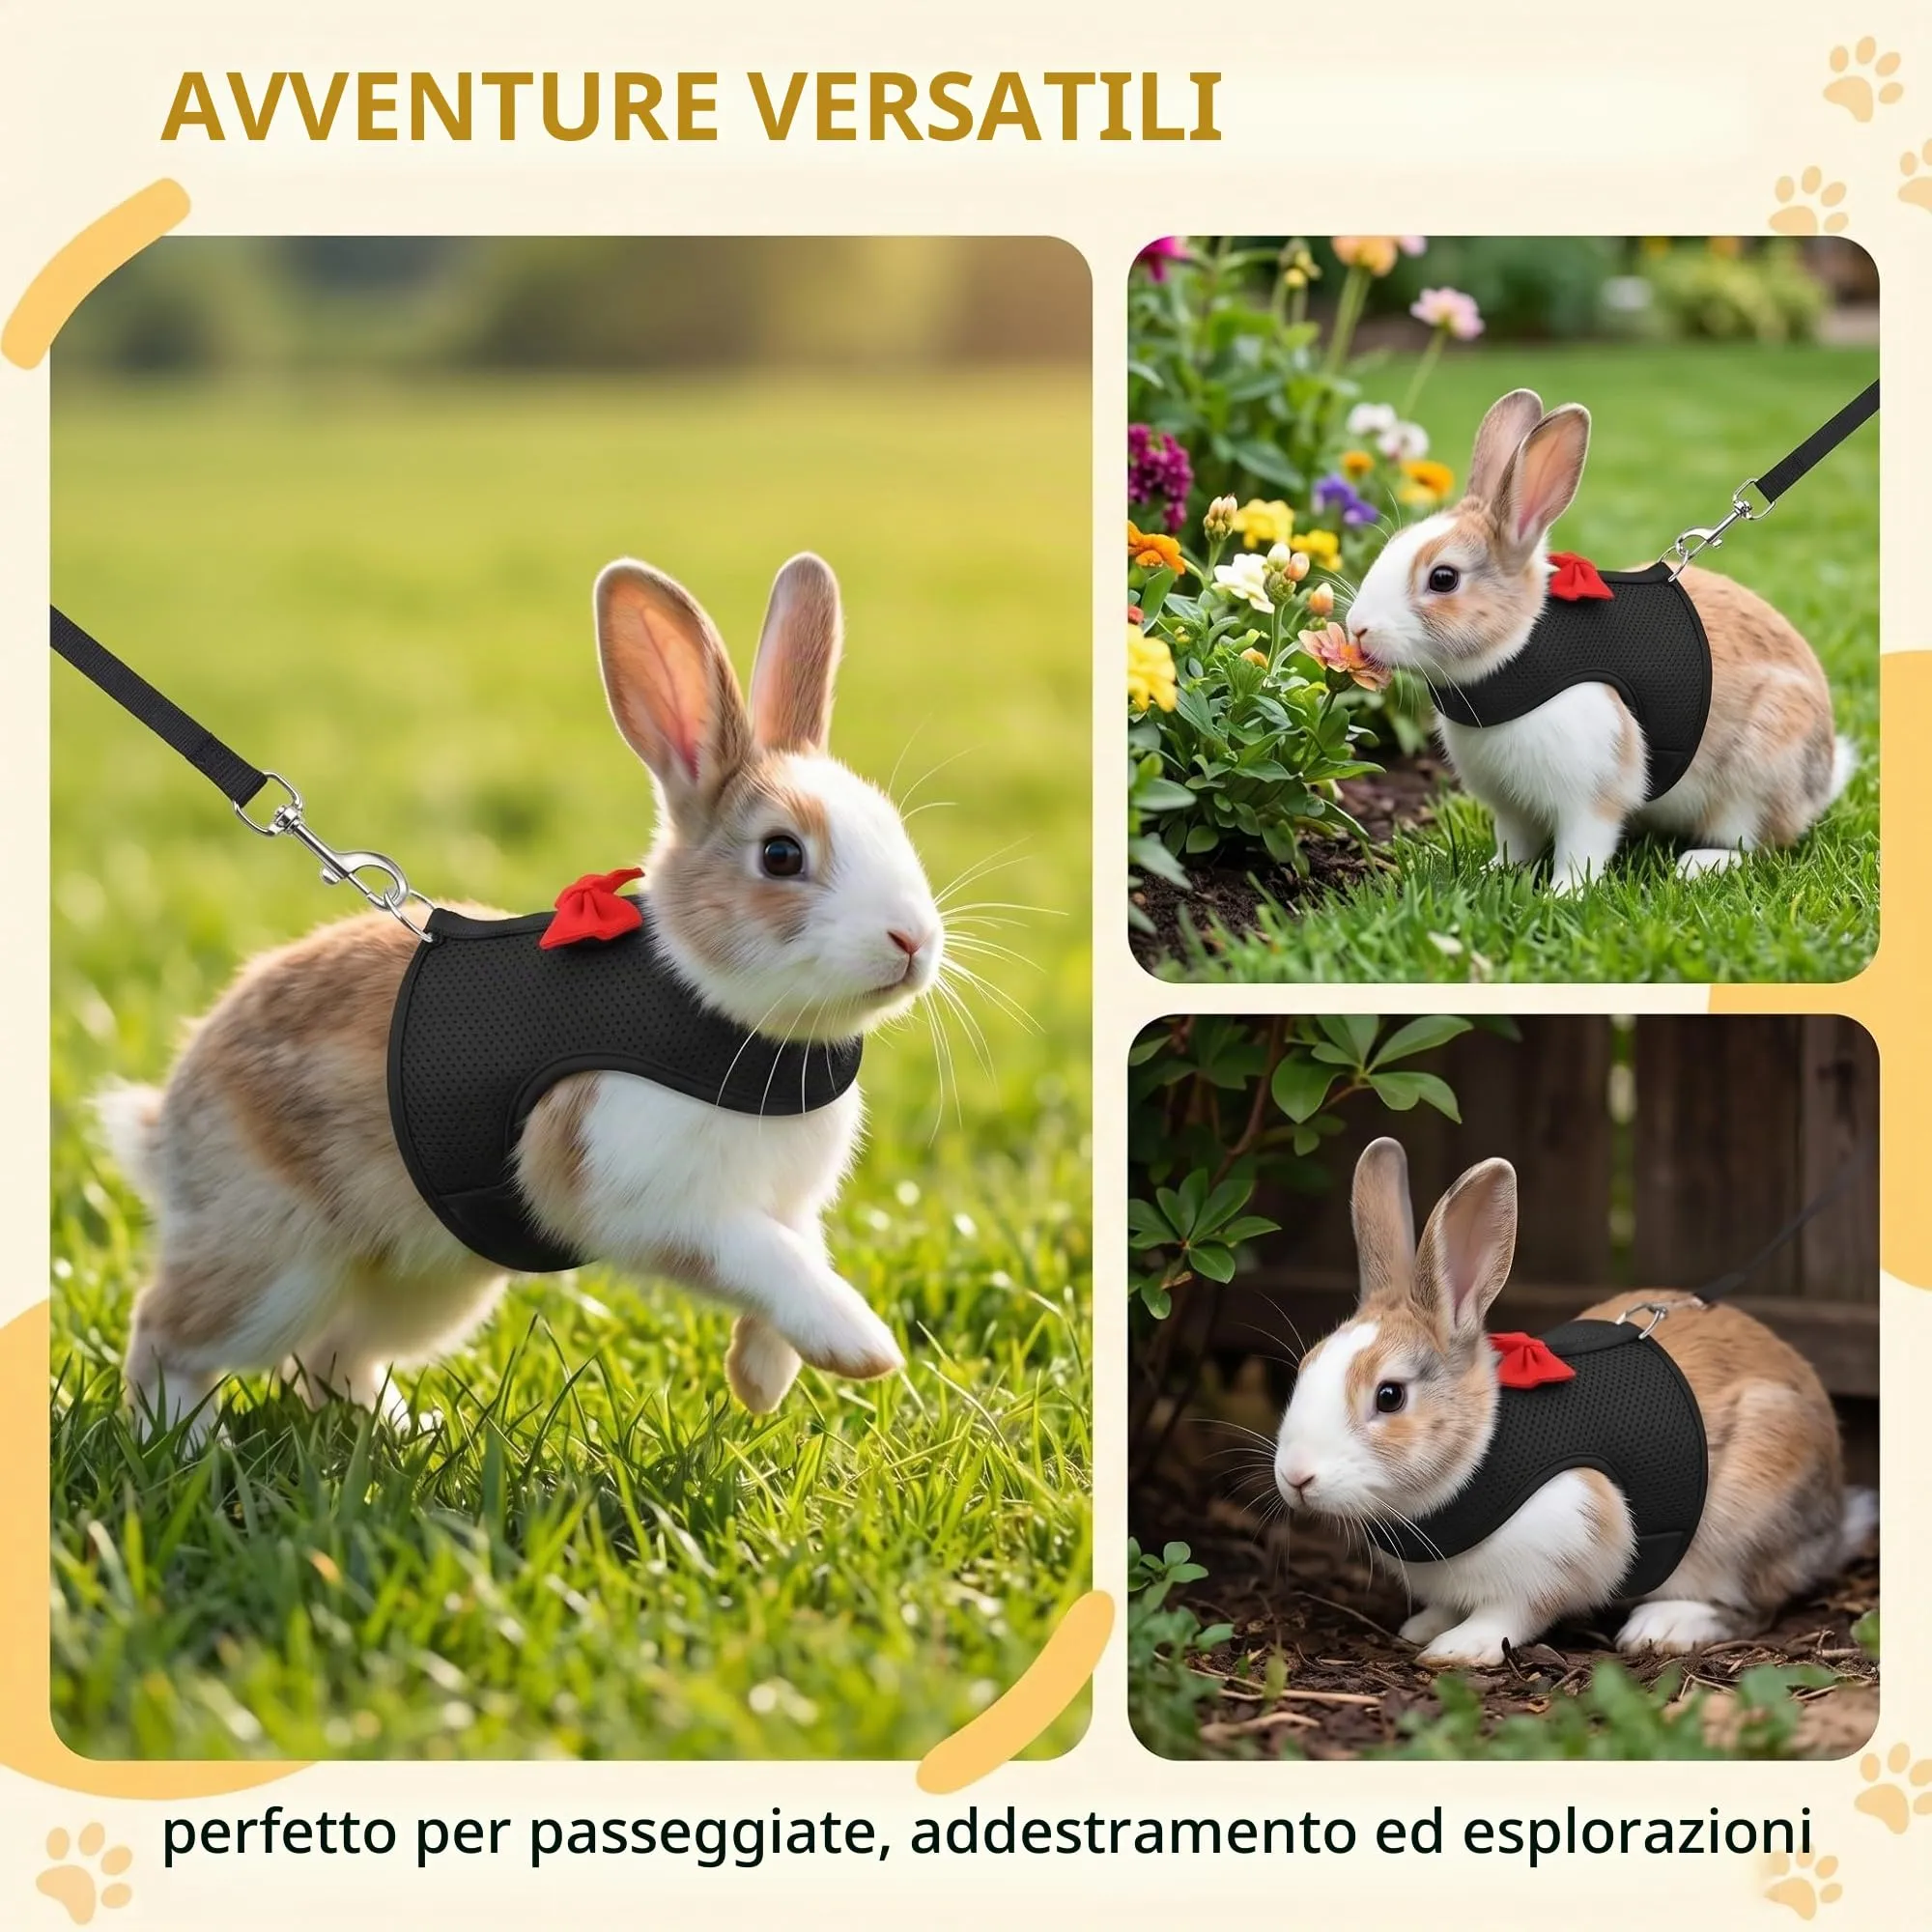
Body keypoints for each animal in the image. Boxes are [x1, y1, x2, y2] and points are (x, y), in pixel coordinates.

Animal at [95, 553, 943, 1443]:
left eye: (893, 830)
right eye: (781, 855)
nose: (912, 941)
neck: (714, 1010)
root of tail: (169, 1128)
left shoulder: (787, 1206)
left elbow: (798, 1257)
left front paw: (762, 1380)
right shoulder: (649, 1197)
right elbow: (760, 1257)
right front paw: (861, 1346)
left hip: (429, 1282)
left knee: (334, 1356)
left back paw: (410, 1431)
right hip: (277, 1265)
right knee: (169, 1329)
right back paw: (188, 1442)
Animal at [1271, 1138, 1874, 1667]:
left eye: (1390, 1396)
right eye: (1305, 1370)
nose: (1295, 1478)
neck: (1478, 1451)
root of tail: (1833, 1523)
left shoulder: (1566, 1542)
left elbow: (1512, 1613)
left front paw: (1458, 1649)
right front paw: (1424, 1627)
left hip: (1740, 1526)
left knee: (1751, 1607)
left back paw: (1662, 1626)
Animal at [1343, 388, 1855, 892]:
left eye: (1444, 578)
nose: (1358, 627)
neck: (1517, 649)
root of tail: (1821, 778)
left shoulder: (1591, 795)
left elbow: (1581, 848)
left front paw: (1562, 895)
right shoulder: (1511, 807)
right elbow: (1515, 843)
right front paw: (1498, 873)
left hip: (1753, 781)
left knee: (1757, 842)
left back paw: (1699, 864)